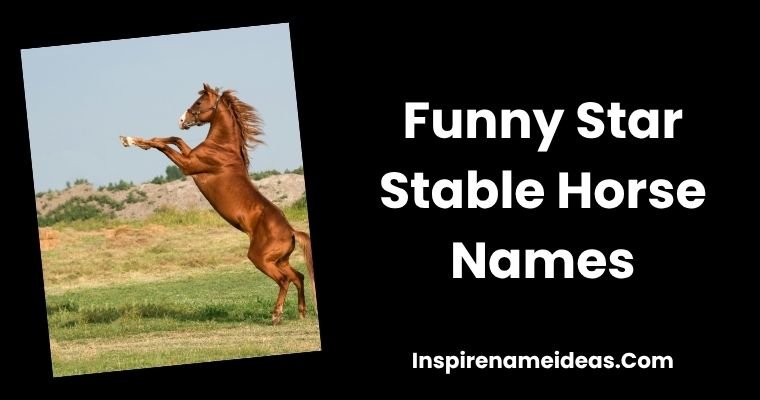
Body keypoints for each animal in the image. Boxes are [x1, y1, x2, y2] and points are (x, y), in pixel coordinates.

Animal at [119, 83, 316, 325]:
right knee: (298, 276)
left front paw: (129, 140)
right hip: (280, 261)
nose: (181, 120)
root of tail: (291, 232)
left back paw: (276, 315)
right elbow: (175, 139)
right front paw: (132, 140)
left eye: (198, 103)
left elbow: (164, 145)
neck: (222, 148)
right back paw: (301, 312)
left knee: (284, 280)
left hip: (261, 259)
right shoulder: (188, 156)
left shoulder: (188, 165)